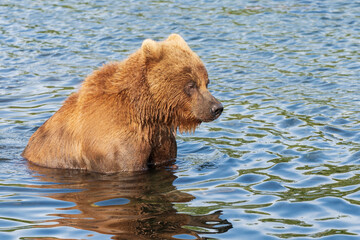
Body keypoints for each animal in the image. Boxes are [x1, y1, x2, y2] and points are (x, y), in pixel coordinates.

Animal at [21, 33, 222, 172]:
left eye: (206, 82)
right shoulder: (116, 146)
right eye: (191, 85)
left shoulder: (160, 139)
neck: (147, 112)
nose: (216, 108)